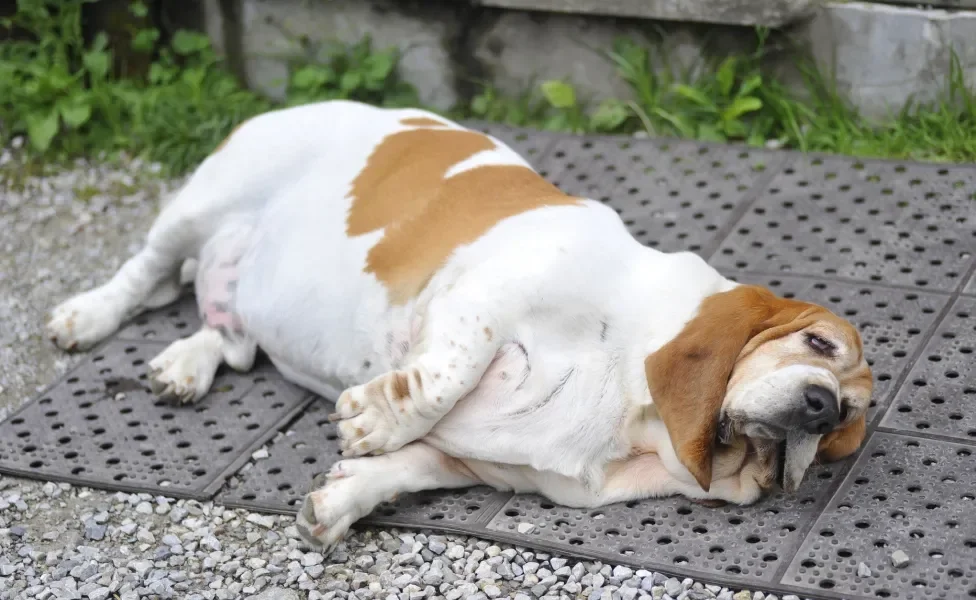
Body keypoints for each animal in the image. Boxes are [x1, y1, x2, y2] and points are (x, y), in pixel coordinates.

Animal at [43, 98, 868, 552]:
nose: (821, 406)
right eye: (816, 343)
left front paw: (337, 504)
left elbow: (404, 469)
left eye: (843, 427)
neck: (631, 408)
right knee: (145, 275)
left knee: (227, 331)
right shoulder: (482, 299)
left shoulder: (479, 464)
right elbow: (440, 379)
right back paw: (86, 316)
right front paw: (371, 418)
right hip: (200, 206)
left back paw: (186, 365)